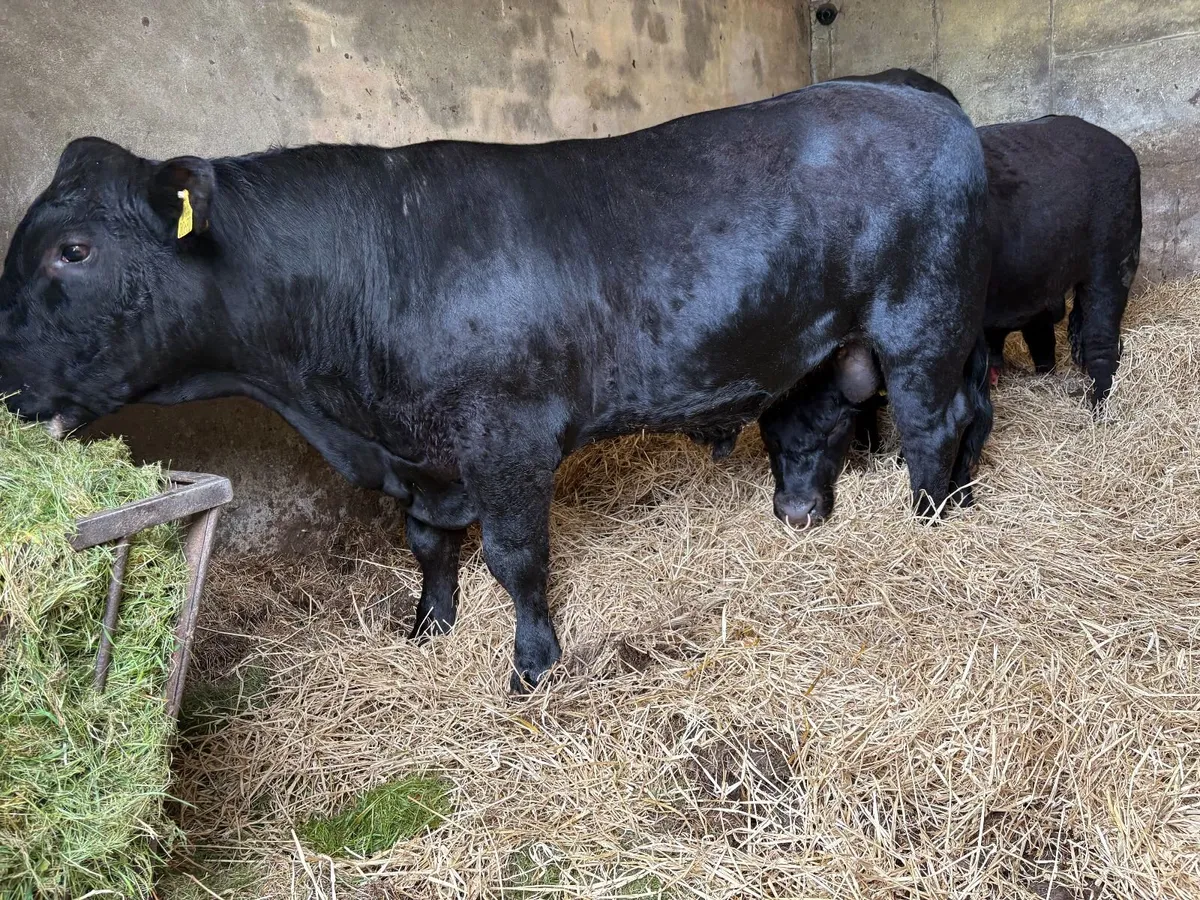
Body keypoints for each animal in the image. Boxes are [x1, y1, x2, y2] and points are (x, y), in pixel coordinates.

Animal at [0, 82, 991, 691]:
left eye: (73, 250)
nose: (4, 377)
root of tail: (919, 99)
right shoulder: (422, 456)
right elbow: (428, 546)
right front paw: (428, 628)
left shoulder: (505, 439)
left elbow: (515, 558)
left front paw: (533, 666)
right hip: (848, 346)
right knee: (849, 425)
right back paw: (853, 511)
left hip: (924, 321)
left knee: (936, 421)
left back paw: (933, 518)